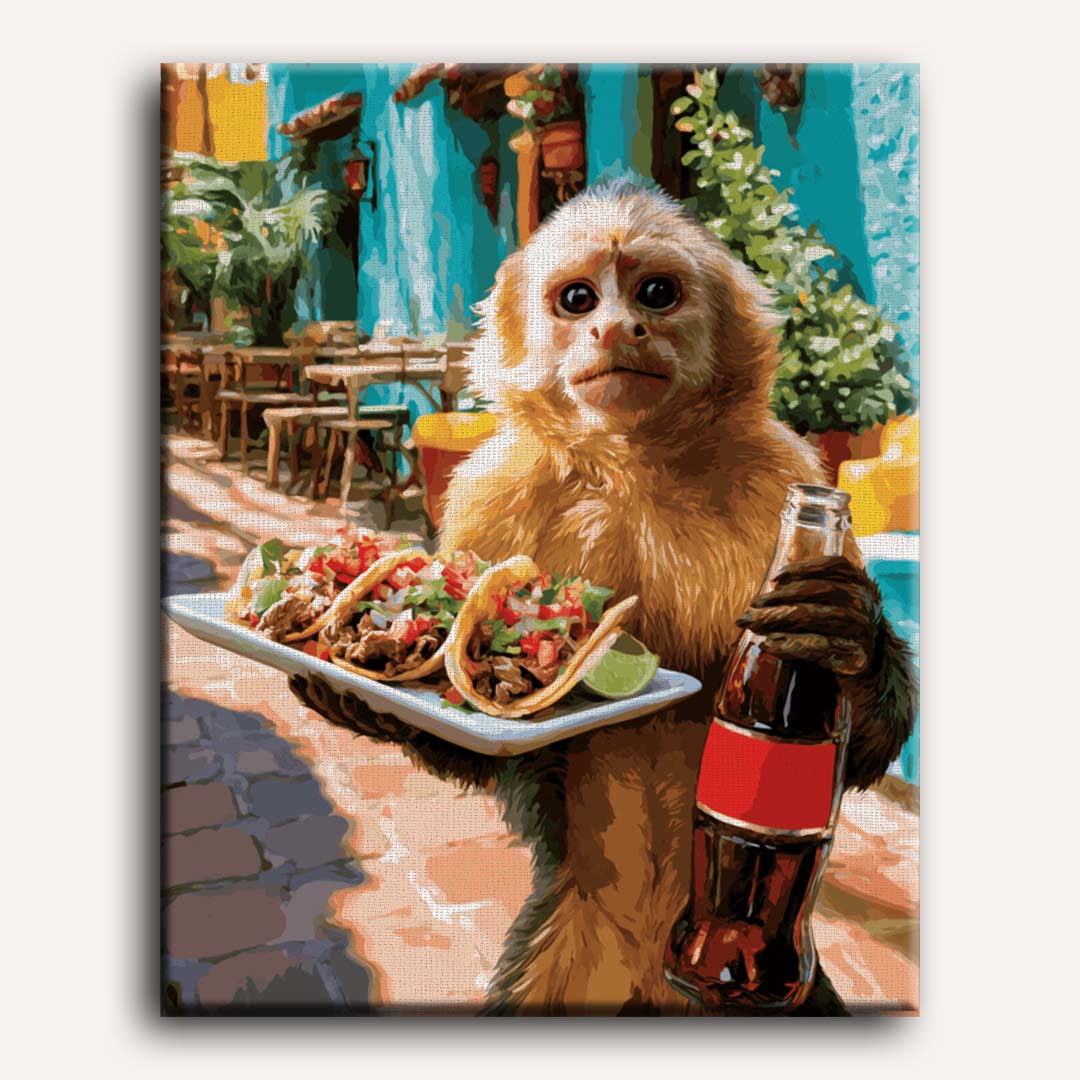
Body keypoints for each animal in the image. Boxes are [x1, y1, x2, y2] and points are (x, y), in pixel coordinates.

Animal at [289, 180, 917, 1016]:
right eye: (578, 299)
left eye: (656, 293)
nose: (617, 326)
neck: (631, 464)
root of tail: (665, 971)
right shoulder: (489, 493)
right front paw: (370, 706)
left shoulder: (786, 473)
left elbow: (853, 746)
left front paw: (843, 635)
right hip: (564, 951)